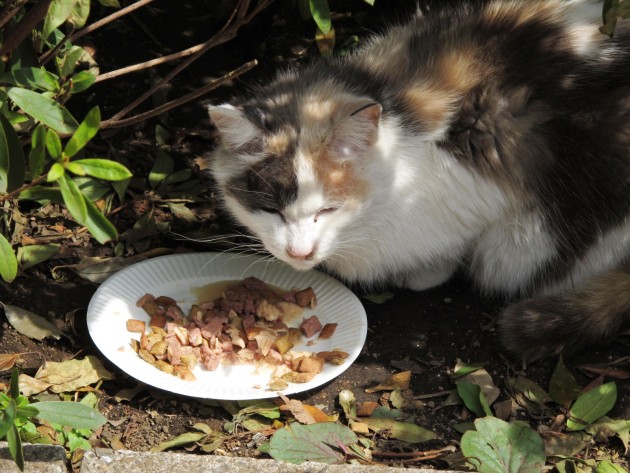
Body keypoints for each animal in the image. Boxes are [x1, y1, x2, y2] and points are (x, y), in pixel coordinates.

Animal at [207, 0, 630, 360]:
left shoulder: (471, 193)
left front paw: (425, 273)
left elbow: (450, 245)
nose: (300, 254)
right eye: (272, 210)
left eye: (328, 210)